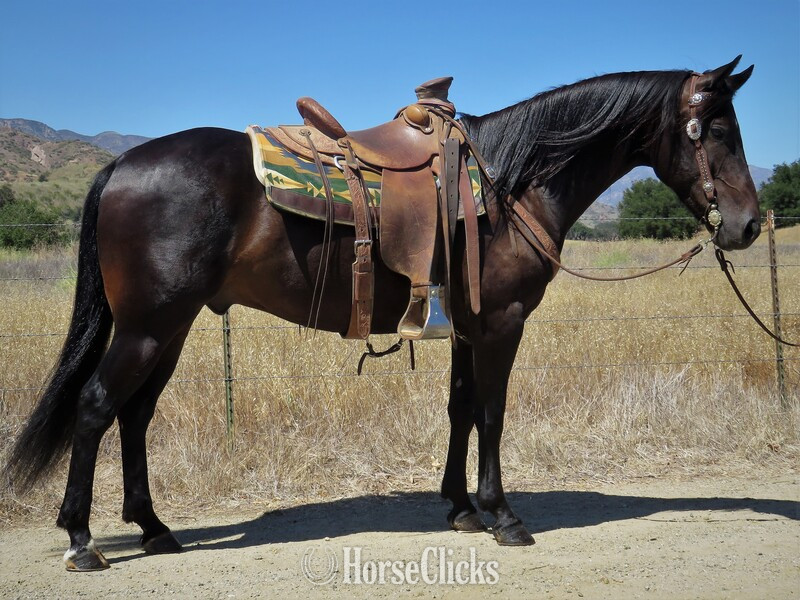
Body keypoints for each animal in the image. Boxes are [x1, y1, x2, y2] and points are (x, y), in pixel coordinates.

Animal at [5, 57, 758, 570]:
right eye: (717, 129)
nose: (749, 225)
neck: (511, 181)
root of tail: (123, 165)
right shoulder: (504, 322)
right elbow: (492, 413)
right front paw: (503, 515)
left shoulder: (469, 327)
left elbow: (460, 410)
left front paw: (461, 507)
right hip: (147, 326)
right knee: (96, 407)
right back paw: (81, 539)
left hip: (172, 327)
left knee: (134, 415)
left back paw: (154, 528)